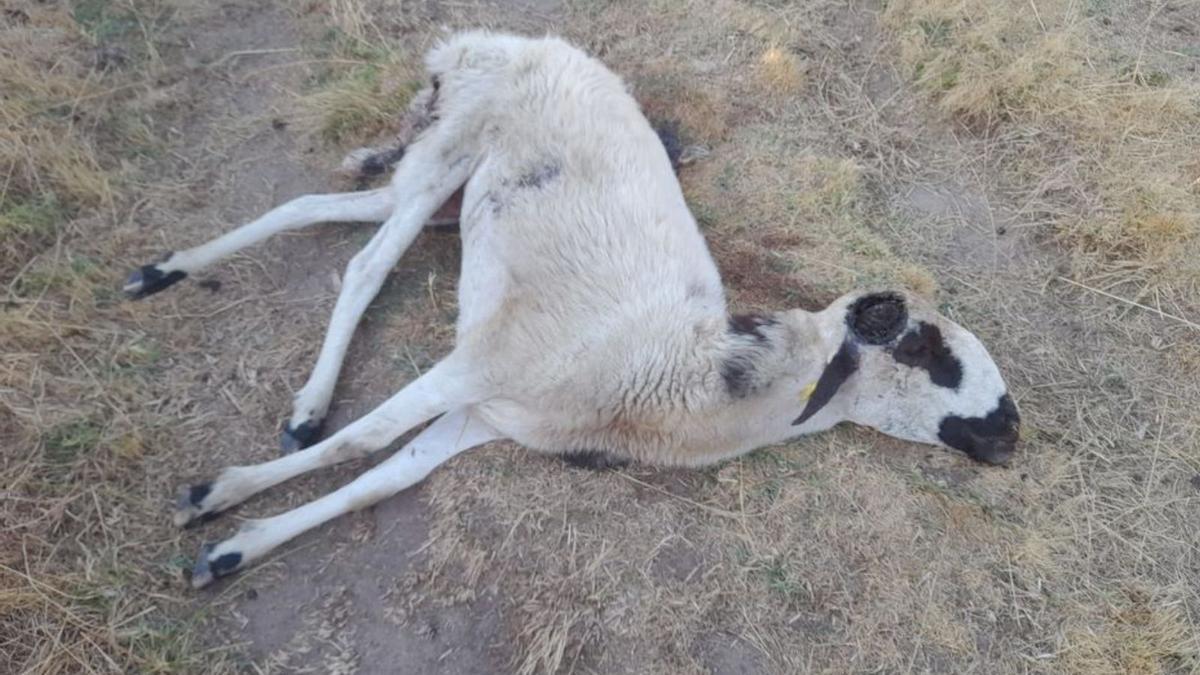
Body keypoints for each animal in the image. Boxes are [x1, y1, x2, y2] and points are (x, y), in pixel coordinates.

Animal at [124, 31, 1022, 586]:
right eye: (929, 351)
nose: (1011, 431)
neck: (680, 374)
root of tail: (492, 41)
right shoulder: (477, 365)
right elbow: (363, 441)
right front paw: (220, 494)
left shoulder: (486, 417)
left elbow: (380, 480)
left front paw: (234, 550)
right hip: (450, 152)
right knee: (365, 264)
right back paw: (303, 404)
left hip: (443, 181)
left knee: (316, 206)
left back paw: (159, 272)